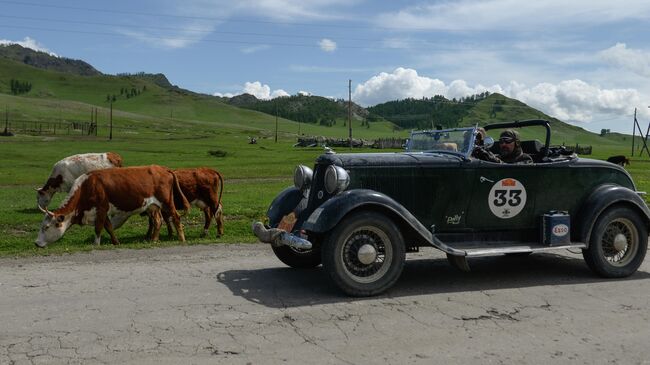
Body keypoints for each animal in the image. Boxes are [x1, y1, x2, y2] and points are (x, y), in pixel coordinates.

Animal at [35, 165, 189, 247]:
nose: (36, 243)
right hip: (153, 206)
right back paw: (153, 240)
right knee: (157, 221)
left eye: (46, 227)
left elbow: (98, 228)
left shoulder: (101, 208)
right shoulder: (104, 212)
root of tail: (163, 169)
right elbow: (108, 227)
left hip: (167, 202)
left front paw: (96, 245)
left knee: (176, 217)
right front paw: (116, 242)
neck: (88, 186)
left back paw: (181, 239)